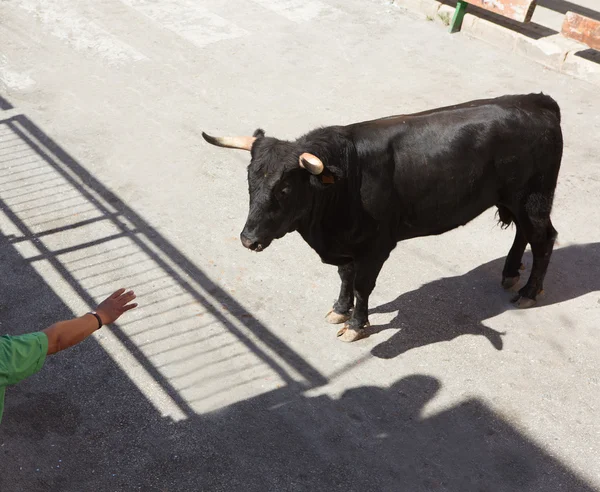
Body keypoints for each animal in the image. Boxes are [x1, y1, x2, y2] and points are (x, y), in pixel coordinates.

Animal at [205, 95, 564, 342]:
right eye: (250, 180)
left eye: (284, 188)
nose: (248, 239)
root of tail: (538, 101)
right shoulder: (347, 244)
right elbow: (345, 276)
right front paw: (340, 310)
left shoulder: (376, 246)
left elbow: (363, 285)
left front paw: (356, 325)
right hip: (516, 200)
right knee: (523, 233)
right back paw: (510, 273)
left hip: (534, 198)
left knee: (543, 238)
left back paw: (529, 292)